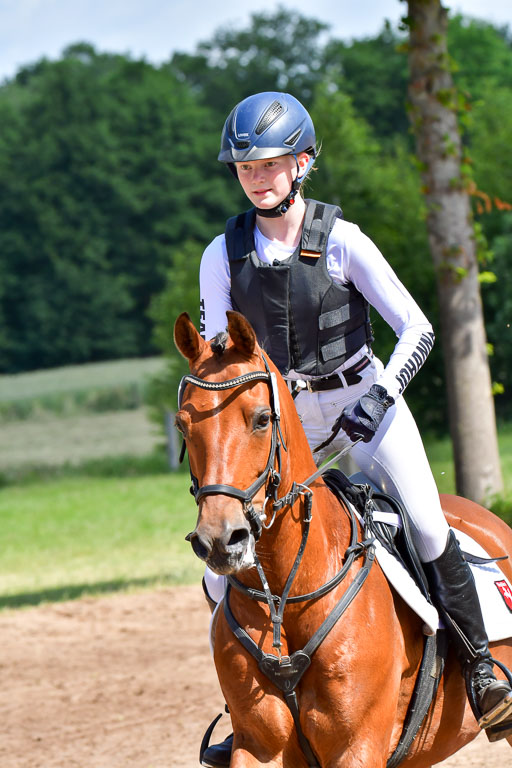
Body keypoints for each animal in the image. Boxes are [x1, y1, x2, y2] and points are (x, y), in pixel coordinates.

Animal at [174, 310, 512, 768]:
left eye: (261, 419)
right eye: (182, 426)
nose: (221, 539)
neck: (288, 594)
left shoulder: (358, 746)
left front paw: (363, 416)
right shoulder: (258, 746)